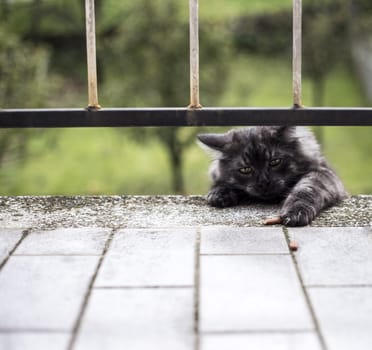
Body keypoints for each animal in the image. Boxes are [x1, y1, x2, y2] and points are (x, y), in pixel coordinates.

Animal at [199, 126, 348, 227]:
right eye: (246, 169)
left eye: (275, 162)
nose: (264, 183)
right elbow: (219, 183)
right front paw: (219, 194)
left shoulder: (323, 173)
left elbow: (306, 189)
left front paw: (296, 212)